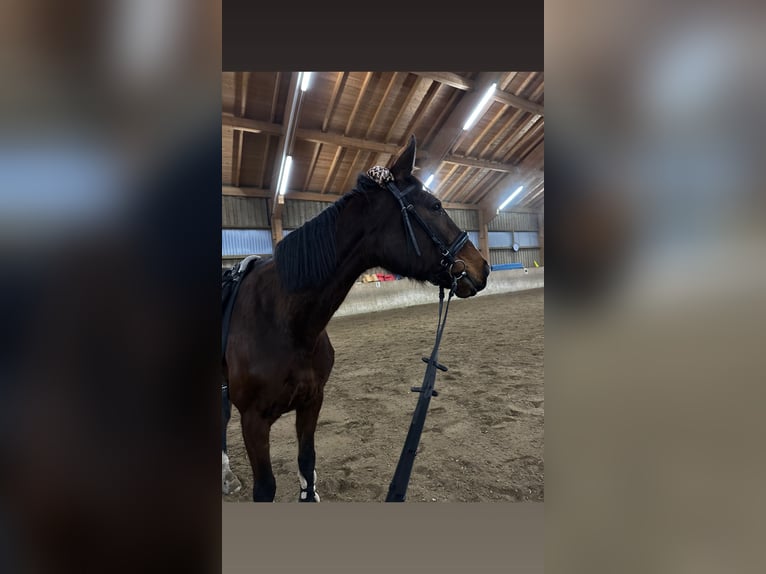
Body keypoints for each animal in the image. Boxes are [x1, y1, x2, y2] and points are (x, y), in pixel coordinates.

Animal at [222, 135, 490, 502]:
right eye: (435, 206)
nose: (483, 268)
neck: (284, 323)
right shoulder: (253, 422)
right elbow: (265, 488)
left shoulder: (312, 402)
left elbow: (306, 465)